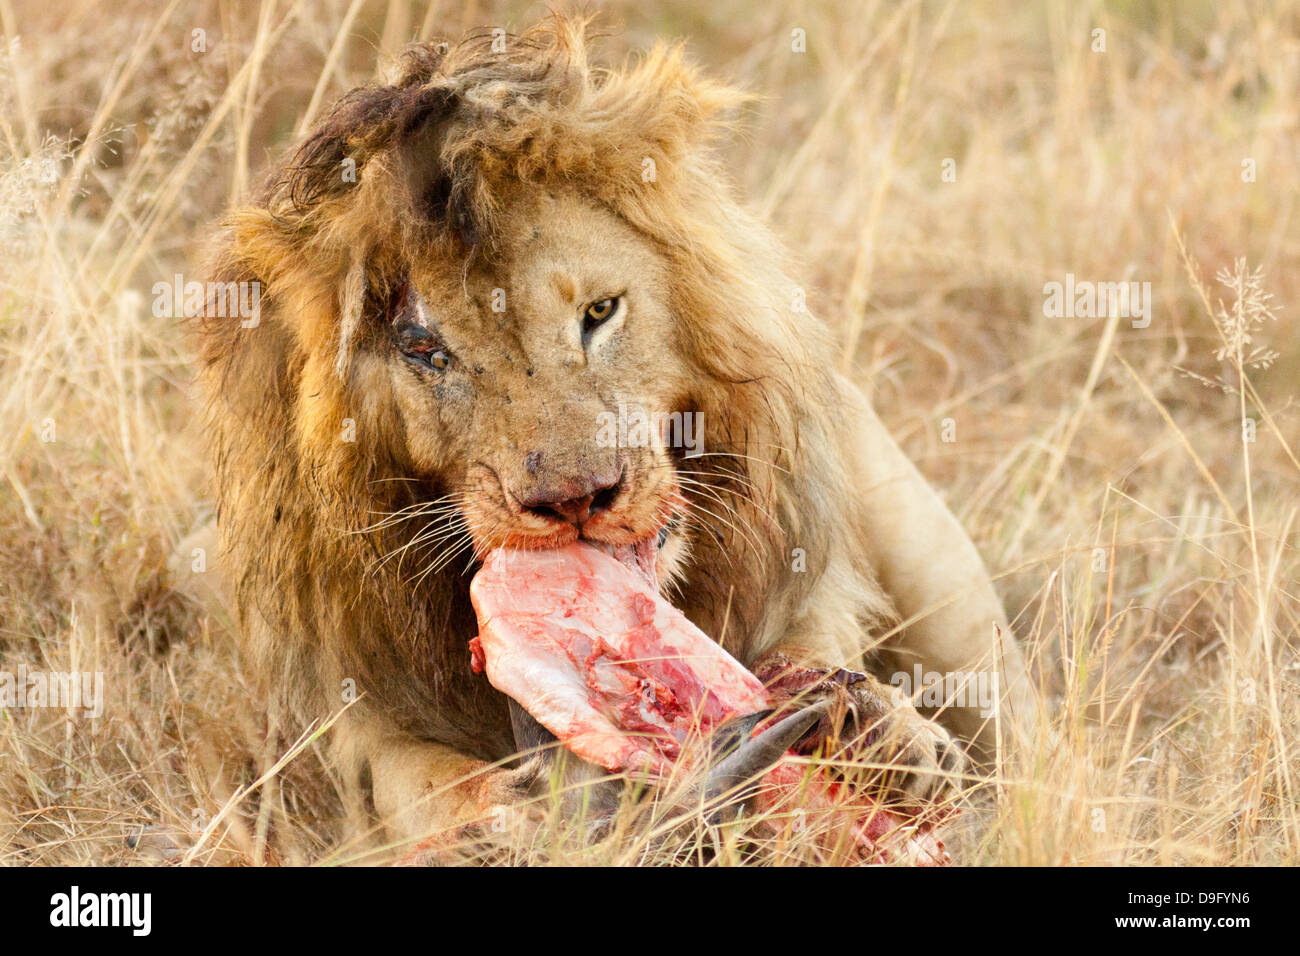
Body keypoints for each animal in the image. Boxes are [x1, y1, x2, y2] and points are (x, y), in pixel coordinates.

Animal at [188, 18, 1029, 848]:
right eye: (428, 353)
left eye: (598, 312)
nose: (574, 501)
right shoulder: (351, 712)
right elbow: (420, 784)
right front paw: (511, 824)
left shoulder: (801, 585)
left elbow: (808, 649)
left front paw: (887, 739)